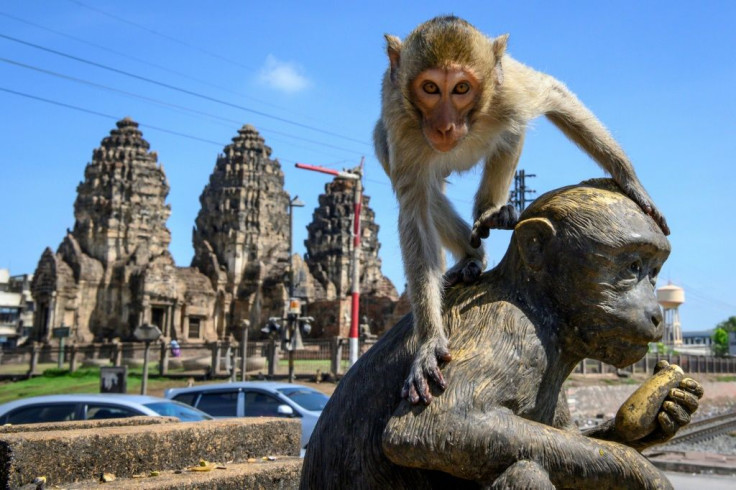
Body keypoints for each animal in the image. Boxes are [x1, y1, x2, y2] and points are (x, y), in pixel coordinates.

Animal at [300, 181, 700, 490]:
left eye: (653, 272)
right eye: (632, 266)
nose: (656, 313)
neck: (536, 303)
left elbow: (570, 437)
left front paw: (669, 409)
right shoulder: (510, 332)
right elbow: (429, 429)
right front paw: (638, 467)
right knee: (525, 469)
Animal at [374, 16, 668, 406]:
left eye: (461, 88)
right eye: (430, 88)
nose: (444, 126)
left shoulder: (510, 91)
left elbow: (554, 94)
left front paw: (631, 181)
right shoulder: (402, 123)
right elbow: (415, 210)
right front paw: (429, 343)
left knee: (512, 130)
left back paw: (491, 212)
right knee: (416, 180)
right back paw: (472, 255)